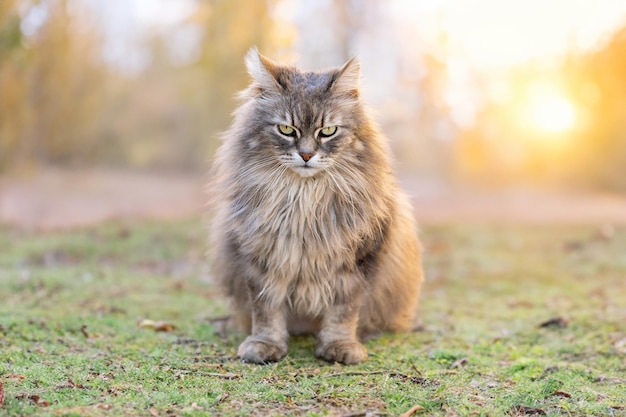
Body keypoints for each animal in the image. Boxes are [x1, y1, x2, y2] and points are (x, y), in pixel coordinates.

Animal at [211, 47, 424, 362]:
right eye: (286, 129)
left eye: (329, 131)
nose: (307, 155)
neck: (304, 199)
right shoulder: (260, 257)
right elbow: (266, 310)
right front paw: (264, 345)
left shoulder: (357, 263)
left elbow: (343, 312)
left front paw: (340, 346)